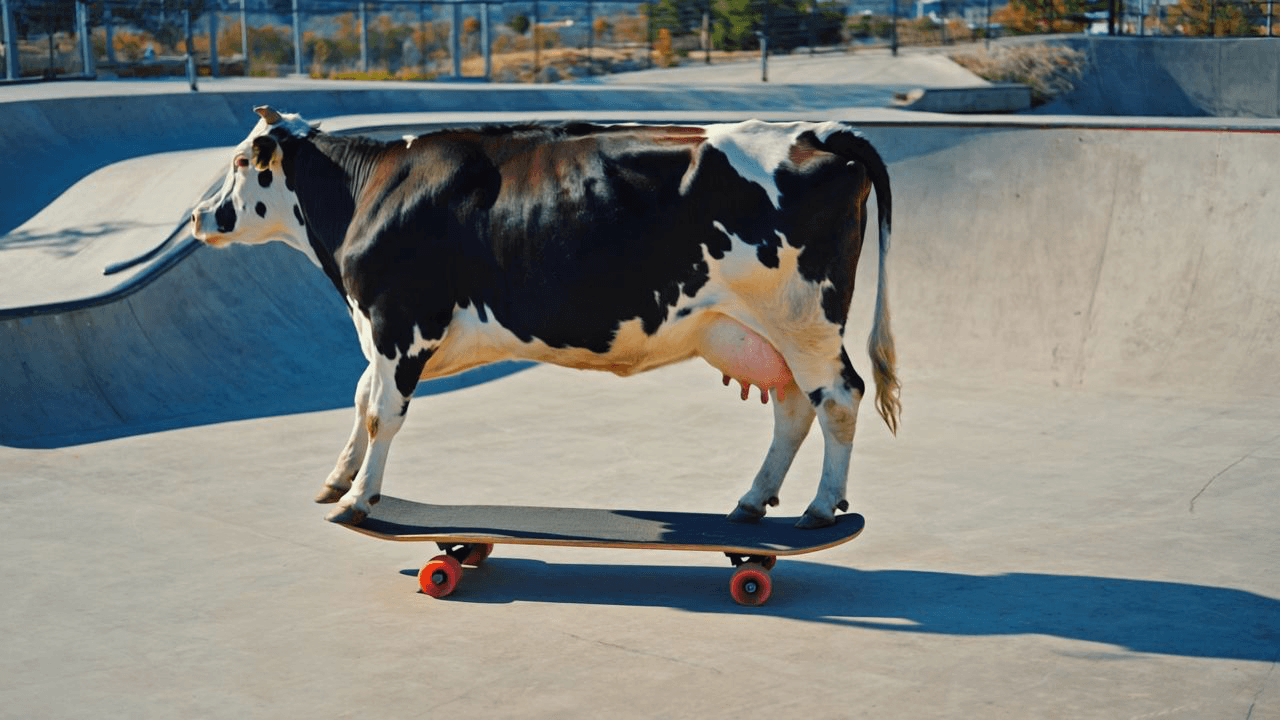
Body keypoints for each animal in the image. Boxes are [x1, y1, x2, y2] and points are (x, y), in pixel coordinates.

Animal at [191, 106, 900, 529]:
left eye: (238, 164)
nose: (197, 216)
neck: (371, 190)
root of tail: (814, 131)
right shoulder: (393, 338)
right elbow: (362, 394)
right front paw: (337, 477)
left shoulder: (398, 322)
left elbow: (379, 410)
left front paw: (359, 498)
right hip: (763, 330)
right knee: (794, 405)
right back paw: (754, 500)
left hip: (803, 318)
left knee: (839, 397)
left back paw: (820, 506)